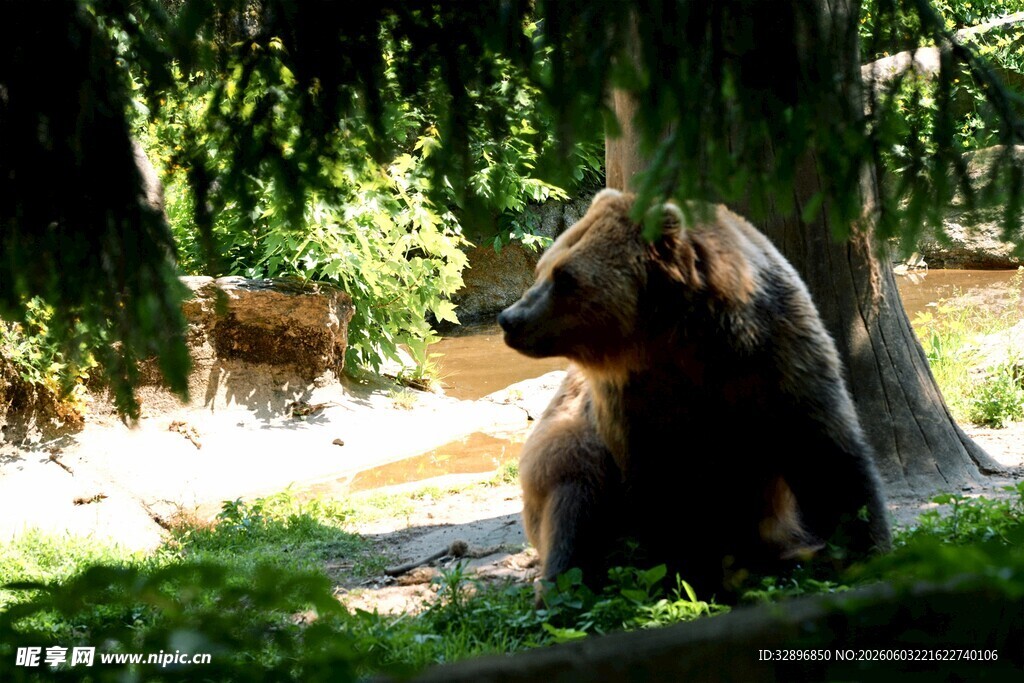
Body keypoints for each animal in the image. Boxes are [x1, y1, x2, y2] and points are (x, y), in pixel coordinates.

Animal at [498, 188, 891, 599]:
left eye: (564, 277)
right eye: (544, 267)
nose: (510, 319)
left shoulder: (776, 359)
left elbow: (826, 453)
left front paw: (863, 548)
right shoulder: (634, 403)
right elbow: (664, 491)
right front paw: (692, 577)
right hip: (564, 455)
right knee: (577, 496)